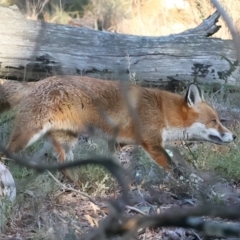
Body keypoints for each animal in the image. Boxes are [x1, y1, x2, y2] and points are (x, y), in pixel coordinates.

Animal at [1, 76, 235, 170]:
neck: (161, 112)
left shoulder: (118, 142)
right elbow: (175, 169)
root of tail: (37, 83)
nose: (234, 136)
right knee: (7, 152)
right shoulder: (152, 144)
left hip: (65, 141)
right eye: (214, 121)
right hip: (28, 135)